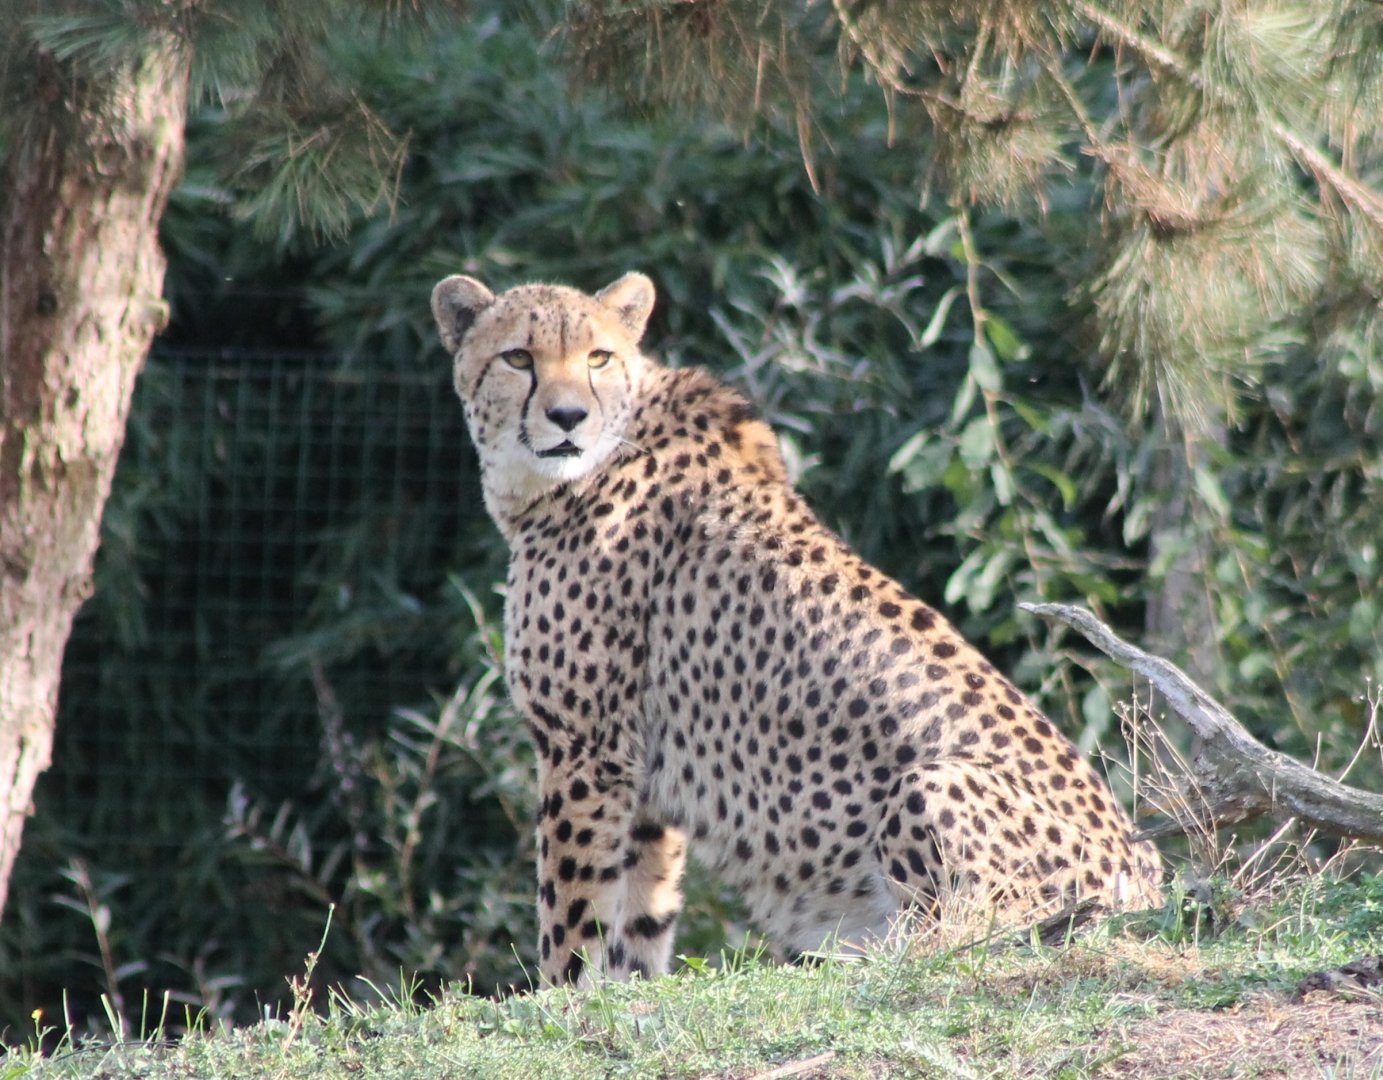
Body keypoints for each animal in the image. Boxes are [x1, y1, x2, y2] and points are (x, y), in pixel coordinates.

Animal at [431, 269, 1163, 987]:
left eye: (598, 358)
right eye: (518, 358)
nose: (567, 418)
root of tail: (1149, 885)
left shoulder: (586, 749)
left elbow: (571, 909)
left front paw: (561, 995)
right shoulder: (642, 777)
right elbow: (640, 916)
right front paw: (626, 991)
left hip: (930, 784)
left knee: (974, 936)